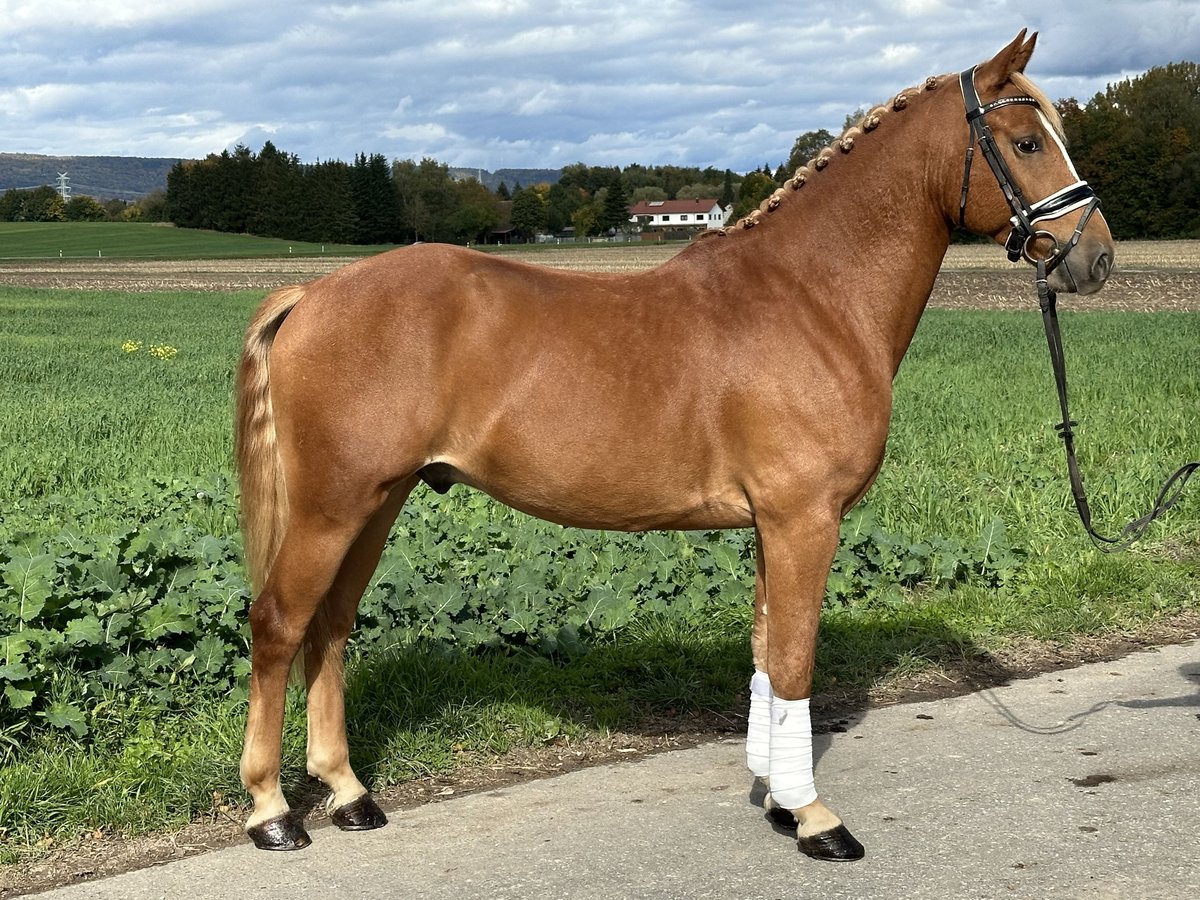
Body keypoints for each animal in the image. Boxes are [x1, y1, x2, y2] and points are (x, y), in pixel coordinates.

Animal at [234, 30, 1113, 859]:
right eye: (1027, 143)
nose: (1095, 257)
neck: (811, 297)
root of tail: (313, 292)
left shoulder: (774, 525)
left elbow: (765, 655)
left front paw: (778, 801)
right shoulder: (804, 519)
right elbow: (794, 662)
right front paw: (816, 819)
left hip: (376, 502)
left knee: (331, 626)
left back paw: (348, 793)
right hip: (333, 504)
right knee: (279, 623)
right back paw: (272, 812)